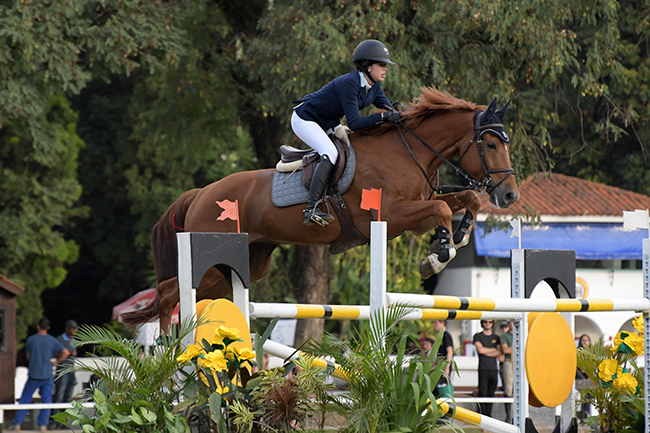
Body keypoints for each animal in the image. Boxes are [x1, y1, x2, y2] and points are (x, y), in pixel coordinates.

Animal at [121, 87, 520, 332]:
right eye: (489, 144)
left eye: (506, 143)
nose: (510, 196)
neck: (409, 150)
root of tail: (201, 193)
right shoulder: (389, 216)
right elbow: (440, 208)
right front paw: (437, 256)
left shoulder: (415, 209)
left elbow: (464, 201)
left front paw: (457, 236)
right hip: (212, 254)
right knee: (169, 294)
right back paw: (165, 356)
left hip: (245, 264)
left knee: (189, 294)